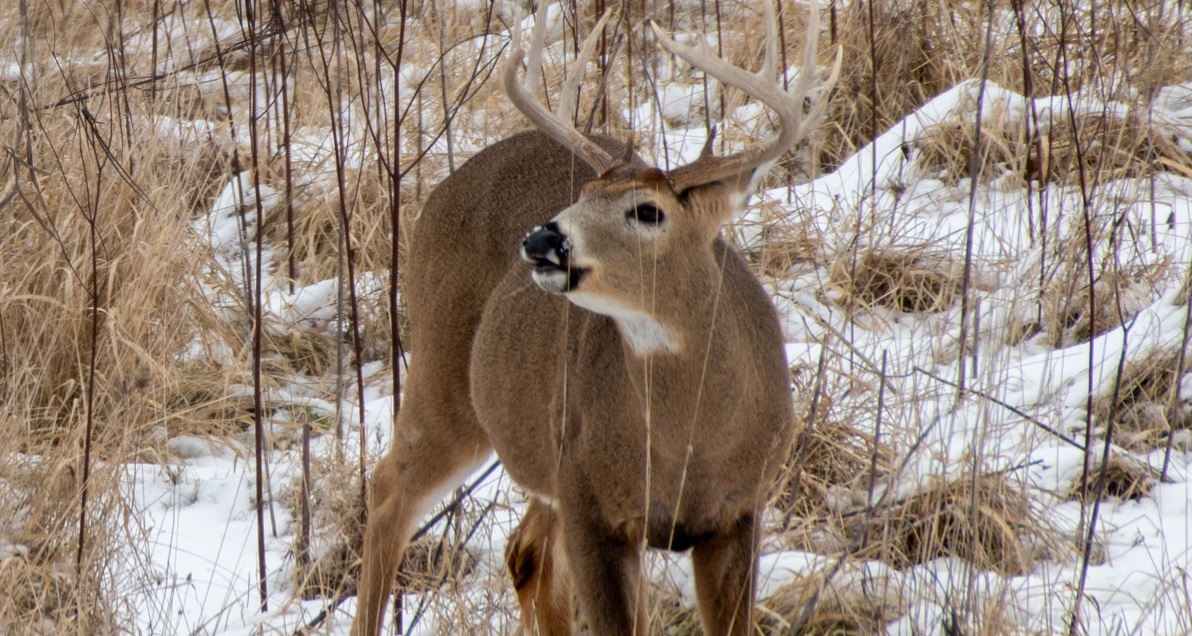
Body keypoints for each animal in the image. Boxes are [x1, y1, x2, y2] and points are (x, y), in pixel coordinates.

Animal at [350, 2, 839, 633]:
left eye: (647, 211)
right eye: (582, 191)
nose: (541, 239)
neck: (689, 446)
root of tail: (437, 193)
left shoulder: (740, 510)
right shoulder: (590, 505)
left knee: (523, 553)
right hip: (445, 374)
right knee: (390, 490)